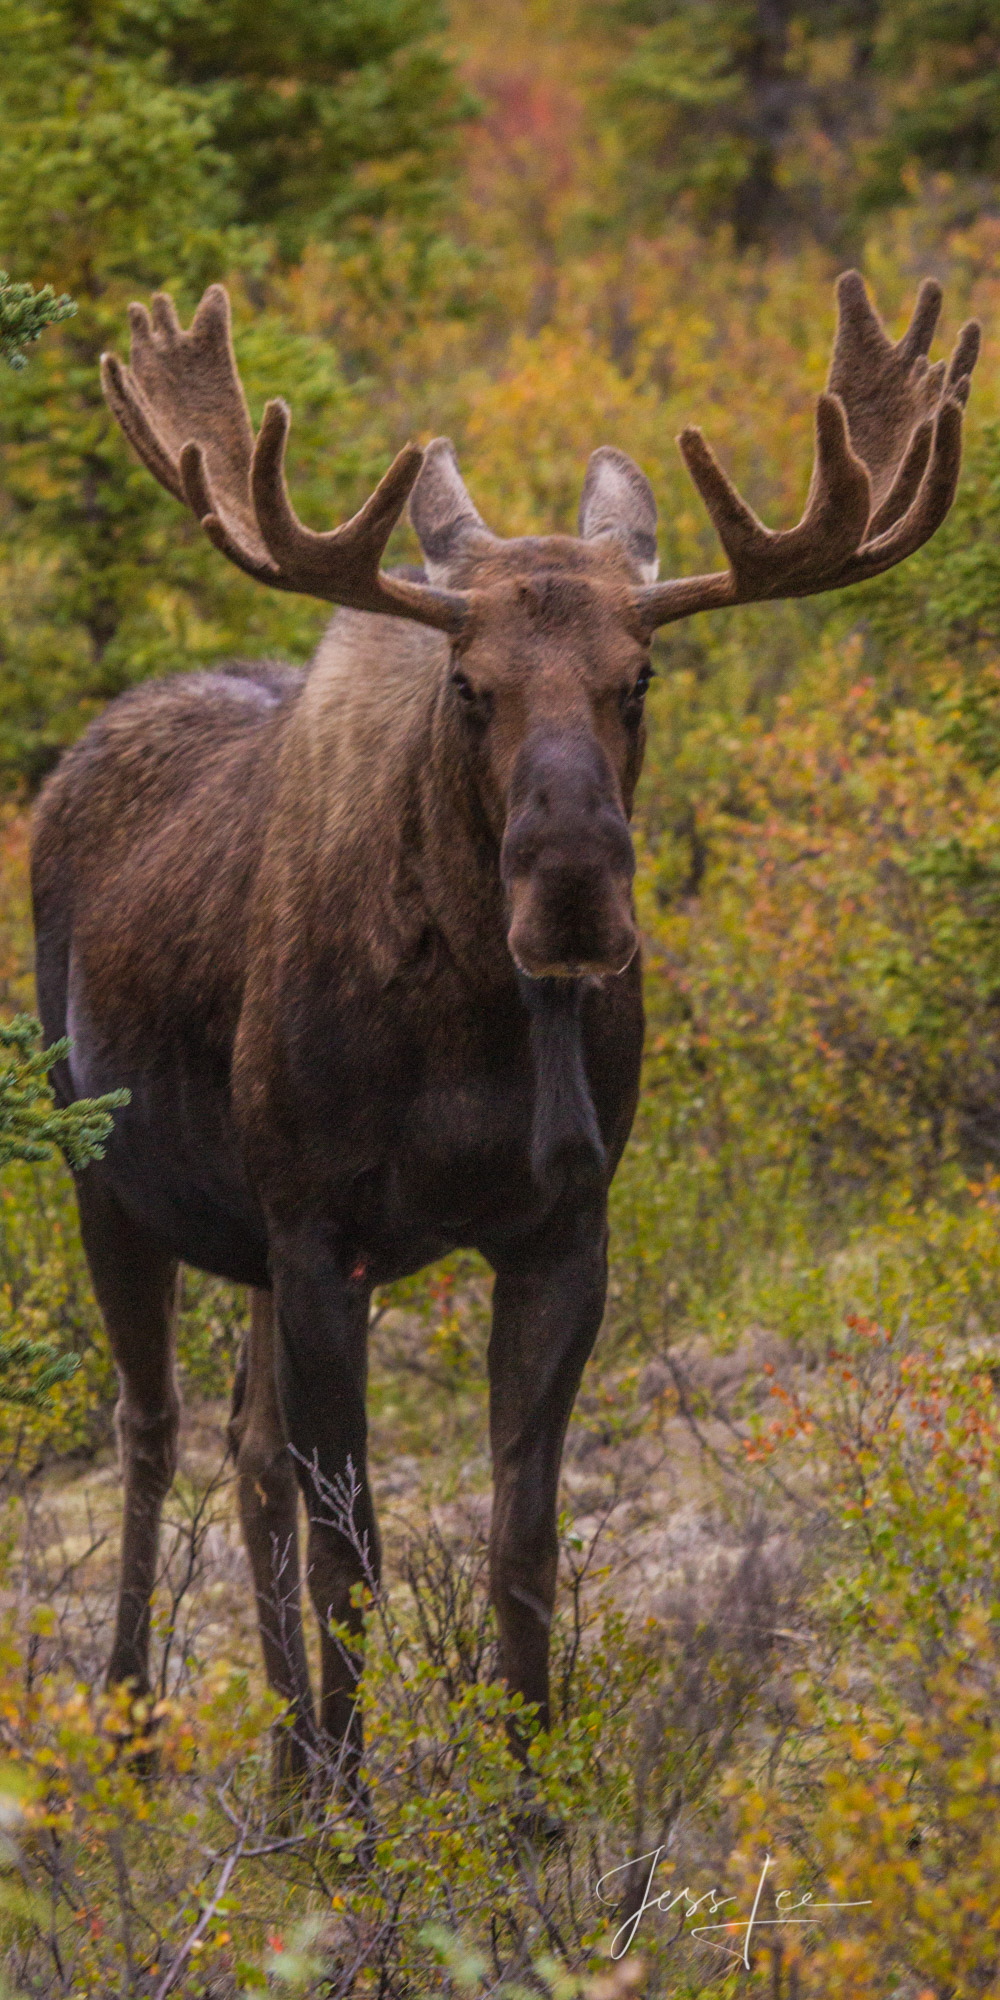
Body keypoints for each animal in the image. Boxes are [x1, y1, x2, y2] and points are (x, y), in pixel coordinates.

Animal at [31, 270, 976, 1784]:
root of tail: (73, 762)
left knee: (246, 1453)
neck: (473, 1036)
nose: (575, 888)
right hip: (99, 1168)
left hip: (240, 1235)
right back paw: (136, 1742)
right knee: (153, 1428)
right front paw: (364, 1818)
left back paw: (287, 1771)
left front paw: (528, 1801)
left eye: (640, 677)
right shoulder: (320, 1231)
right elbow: (352, 1551)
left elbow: (519, 1547)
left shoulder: (560, 1228)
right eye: (467, 681)